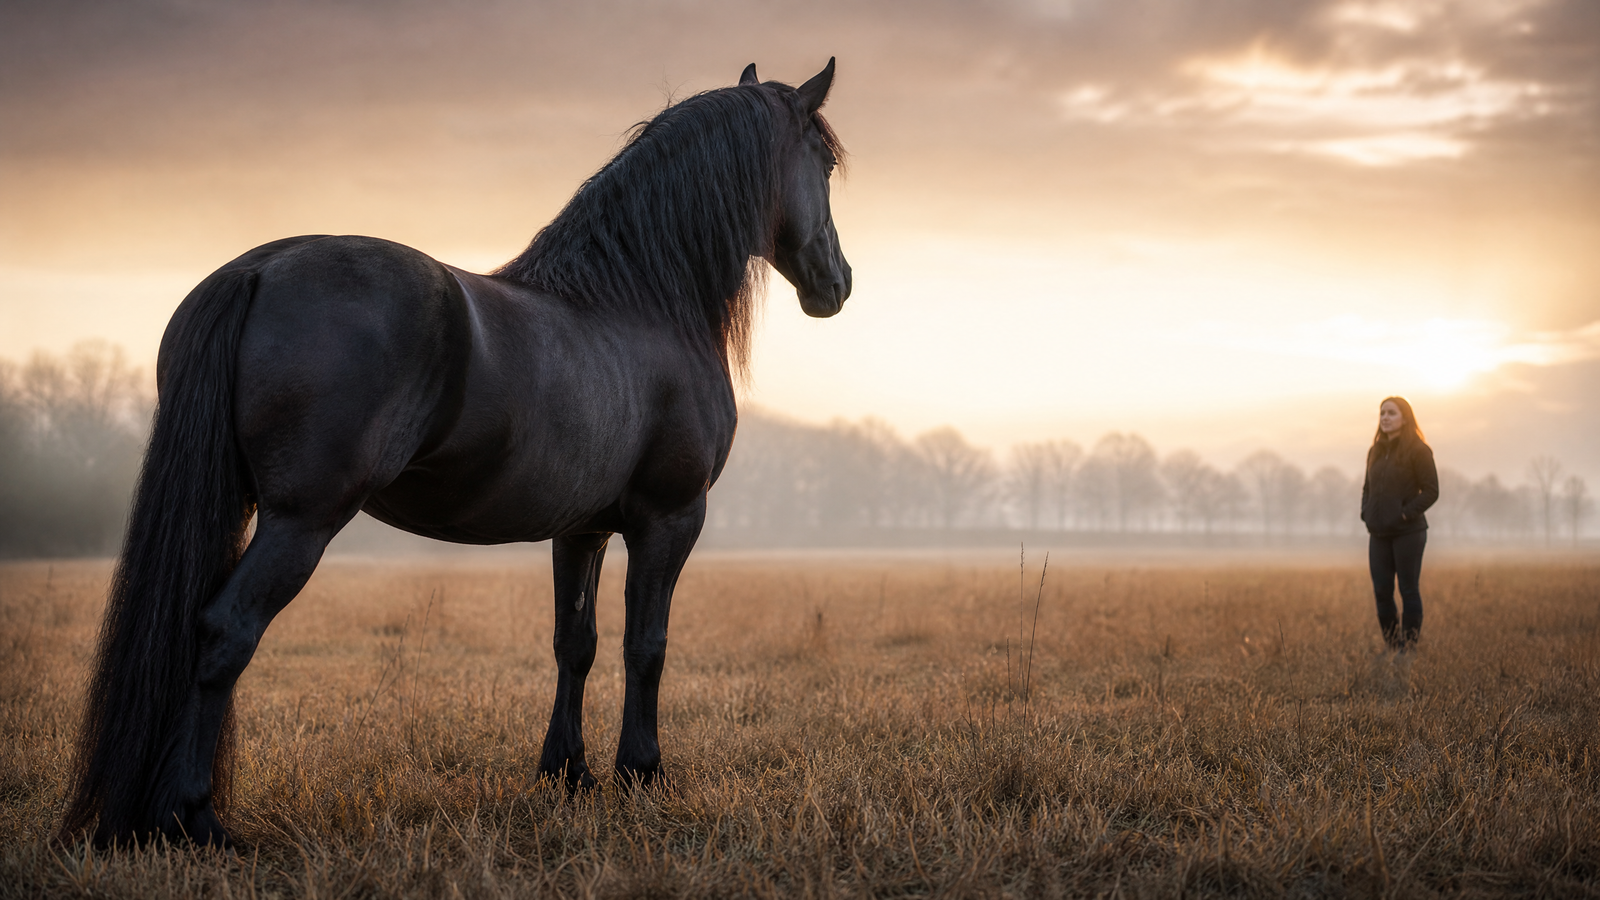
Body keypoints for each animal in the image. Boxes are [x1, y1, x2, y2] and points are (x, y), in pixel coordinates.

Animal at [61, 59, 850, 848]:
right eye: (825, 162)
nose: (837, 283)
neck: (642, 304)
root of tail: (257, 271)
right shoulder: (670, 518)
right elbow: (645, 644)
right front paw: (640, 773)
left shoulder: (582, 529)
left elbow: (577, 641)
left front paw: (568, 773)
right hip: (301, 521)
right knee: (226, 631)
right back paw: (194, 817)